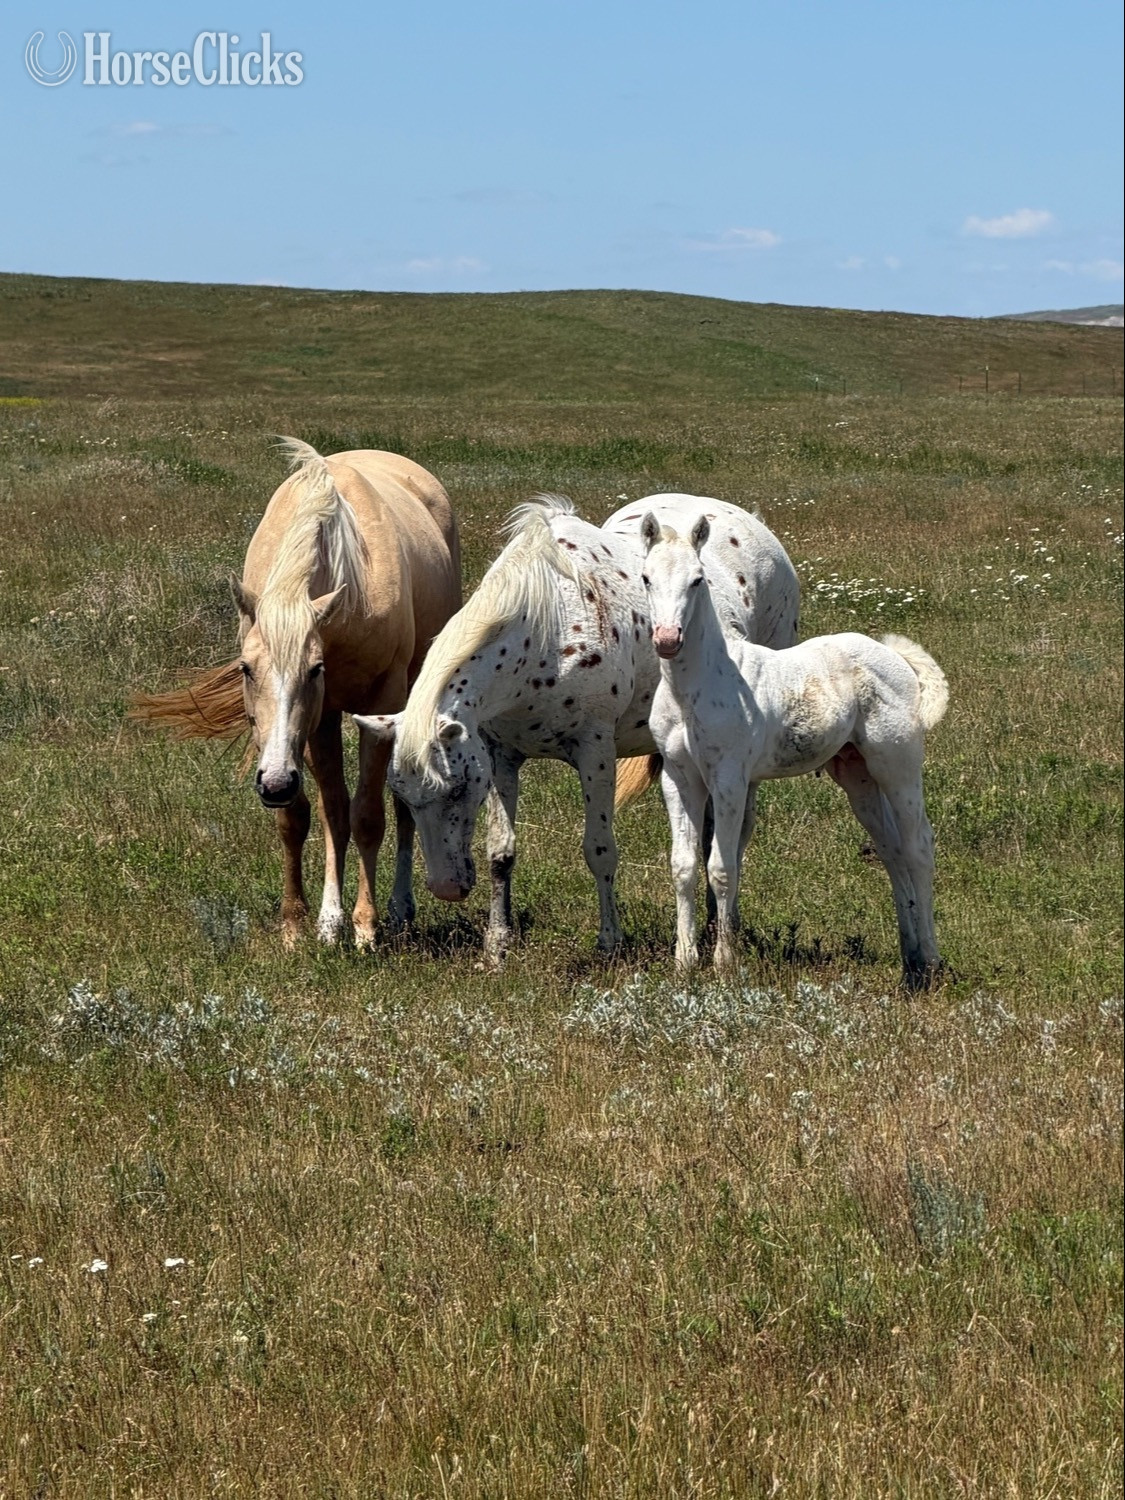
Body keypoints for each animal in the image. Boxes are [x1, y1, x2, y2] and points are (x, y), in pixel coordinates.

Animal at [131, 439, 461, 948]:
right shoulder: (314, 722)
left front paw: (365, 927)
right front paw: (309, 923)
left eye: (314, 669)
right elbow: (316, 815)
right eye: (245, 669)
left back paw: (401, 910)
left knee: (404, 803)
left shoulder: (378, 708)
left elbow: (368, 816)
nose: (274, 784)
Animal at [354, 492, 798, 962]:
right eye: (403, 797)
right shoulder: (499, 757)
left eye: (456, 790)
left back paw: (722, 925)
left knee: (735, 834)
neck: (547, 626)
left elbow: (600, 850)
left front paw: (610, 941)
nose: (446, 888)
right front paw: (497, 944)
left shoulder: (595, 753)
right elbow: (500, 851)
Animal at [634, 511, 948, 985]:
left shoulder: (729, 778)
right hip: (856, 773)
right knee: (891, 850)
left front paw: (724, 963)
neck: (693, 688)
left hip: (897, 765)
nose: (668, 639)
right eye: (647, 577)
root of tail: (892, 654)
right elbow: (684, 866)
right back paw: (908, 954)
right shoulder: (678, 777)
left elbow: (722, 868)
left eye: (697, 579)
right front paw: (684, 961)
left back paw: (928, 959)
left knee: (918, 847)